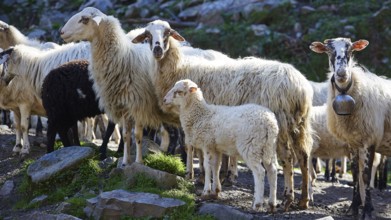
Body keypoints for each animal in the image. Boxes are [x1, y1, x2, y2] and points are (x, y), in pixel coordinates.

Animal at [164, 79, 280, 211]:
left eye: (178, 91)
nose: (164, 100)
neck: (201, 115)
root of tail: (269, 122)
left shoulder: (207, 144)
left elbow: (207, 167)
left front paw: (206, 192)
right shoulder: (216, 148)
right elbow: (216, 167)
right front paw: (216, 191)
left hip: (251, 147)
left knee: (260, 172)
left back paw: (257, 204)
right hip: (269, 147)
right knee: (272, 171)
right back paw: (271, 204)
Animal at [310, 37, 391, 218]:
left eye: (351, 50)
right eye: (329, 51)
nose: (342, 74)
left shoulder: (370, 140)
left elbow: (366, 176)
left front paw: (367, 211)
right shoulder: (353, 143)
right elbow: (355, 174)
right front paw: (353, 208)